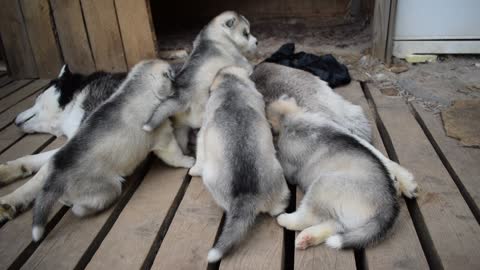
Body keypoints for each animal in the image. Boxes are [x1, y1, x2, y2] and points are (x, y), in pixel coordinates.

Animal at [141, 10, 256, 152]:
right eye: (246, 34)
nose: (257, 42)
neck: (216, 33)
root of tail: (182, 96)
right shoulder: (241, 61)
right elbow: (248, 66)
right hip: (201, 116)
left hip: (181, 128)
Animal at [190, 66, 288, 262]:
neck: (230, 84)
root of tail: (248, 195)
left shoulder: (202, 133)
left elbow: (199, 155)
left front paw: (193, 169)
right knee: (277, 208)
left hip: (210, 180)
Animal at [268, 96, 418, 249]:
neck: (289, 119)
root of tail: (388, 207)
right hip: (343, 214)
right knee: (335, 225)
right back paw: (307, 238)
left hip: (322, 186)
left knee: (308, 218)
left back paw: (285, 219)